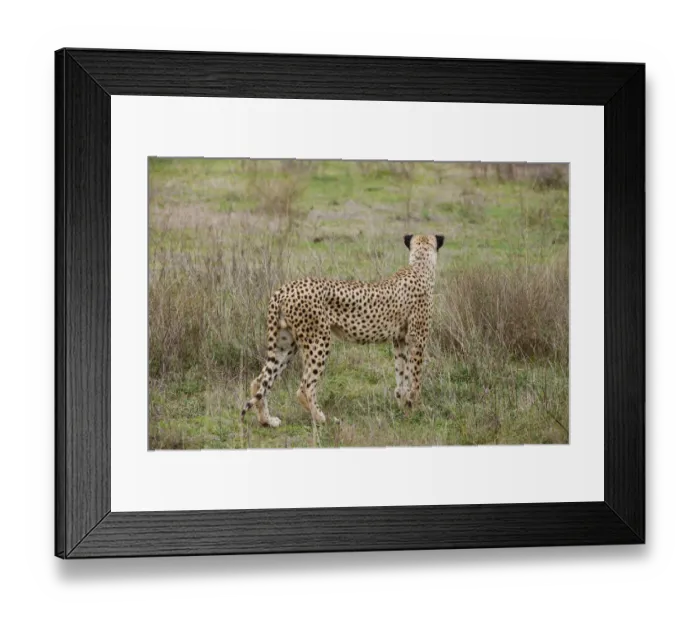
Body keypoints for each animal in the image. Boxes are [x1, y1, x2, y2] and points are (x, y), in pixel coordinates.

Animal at [241, 233, 445, 428]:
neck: (420, 265)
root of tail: (285, 288)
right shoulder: (417, 338)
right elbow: (416, 377)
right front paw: (418, 408)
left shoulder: (399, 340)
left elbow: (402, 375)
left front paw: (404, 405)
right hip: (318, 340)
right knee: (304, 387)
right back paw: (322, 419)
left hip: (285, 344)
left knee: (260, 381)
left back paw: (267, 421)